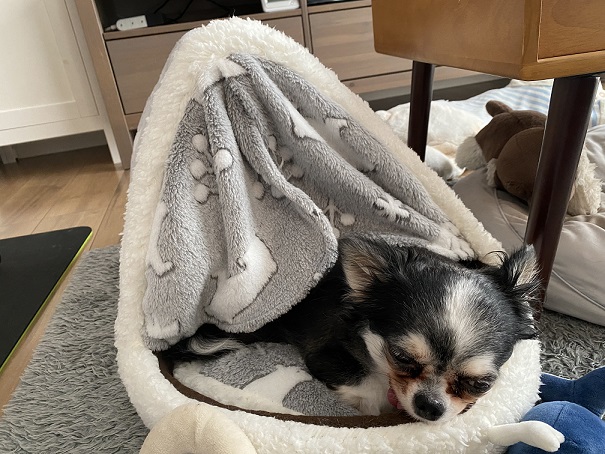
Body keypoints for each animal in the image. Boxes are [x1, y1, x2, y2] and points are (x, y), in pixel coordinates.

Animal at [170, 235, 541, 422]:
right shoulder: (323, 353)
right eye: (400, 357)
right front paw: (375, 406)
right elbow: (366, 383)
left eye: (481, 385)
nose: (430, 406)